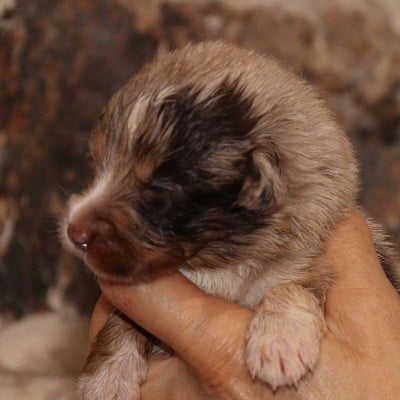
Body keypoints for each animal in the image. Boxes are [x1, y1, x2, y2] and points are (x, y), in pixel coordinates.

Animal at [60, 42, 400, 398]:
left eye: (158, 191)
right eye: (96, 165)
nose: (74, 231)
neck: (215, 264)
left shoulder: (307, 253)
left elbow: (293, 284)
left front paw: (279, 342)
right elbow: (120, 322)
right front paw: (106, 379)